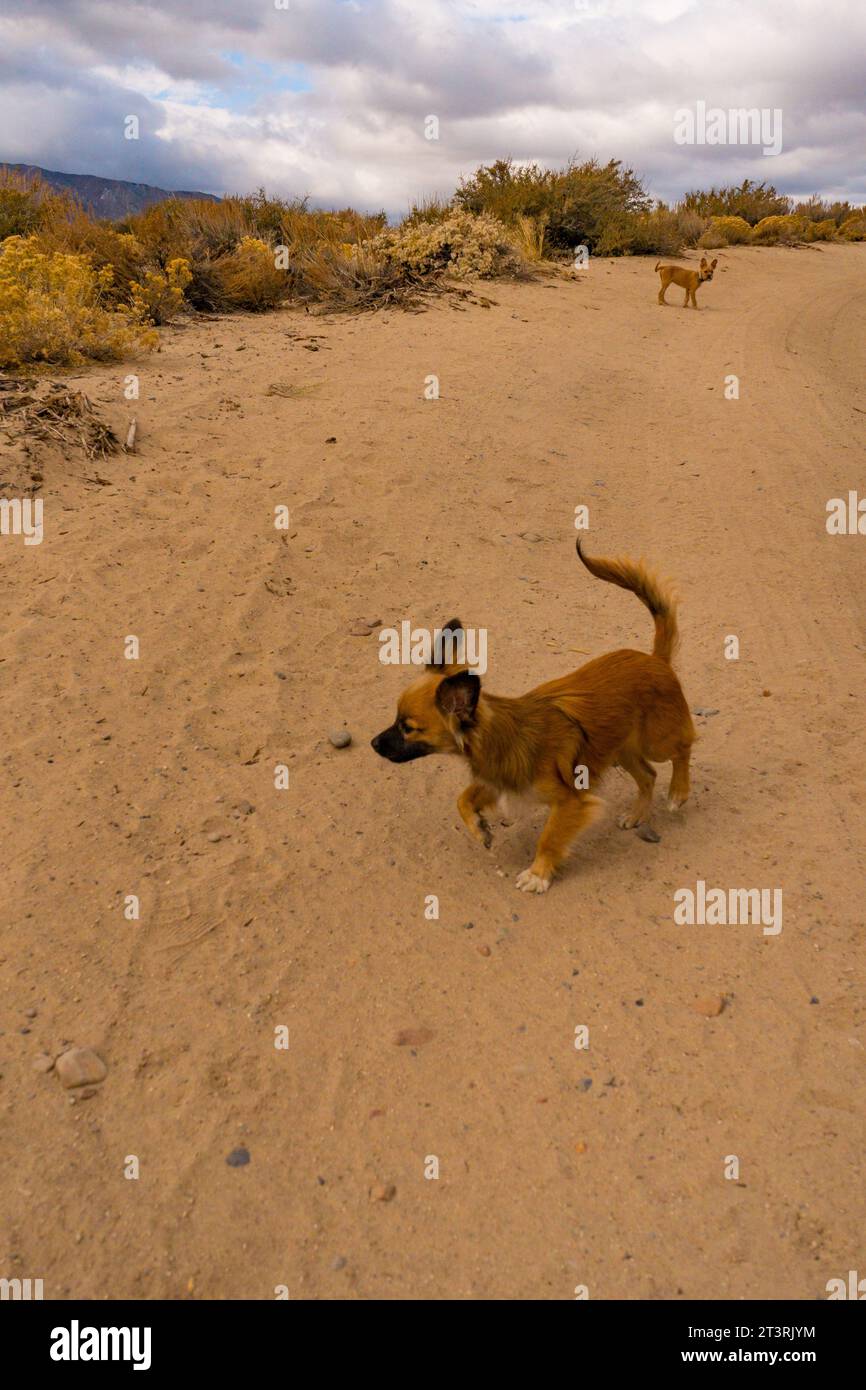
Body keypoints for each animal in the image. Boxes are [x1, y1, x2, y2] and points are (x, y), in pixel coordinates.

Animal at [372, 536, 697, 895]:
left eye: (408, 728)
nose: (373, 744)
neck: (503, 735)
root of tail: (655, 660)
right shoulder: (501, 781)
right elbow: (463, 799)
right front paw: (480, 828)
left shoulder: (570, 801)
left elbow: (549, 838)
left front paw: (538, 873)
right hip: (620, 749)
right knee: (649, 775)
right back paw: (638, 814)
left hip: (656, 740)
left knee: (683, 748)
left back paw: (678, 792)